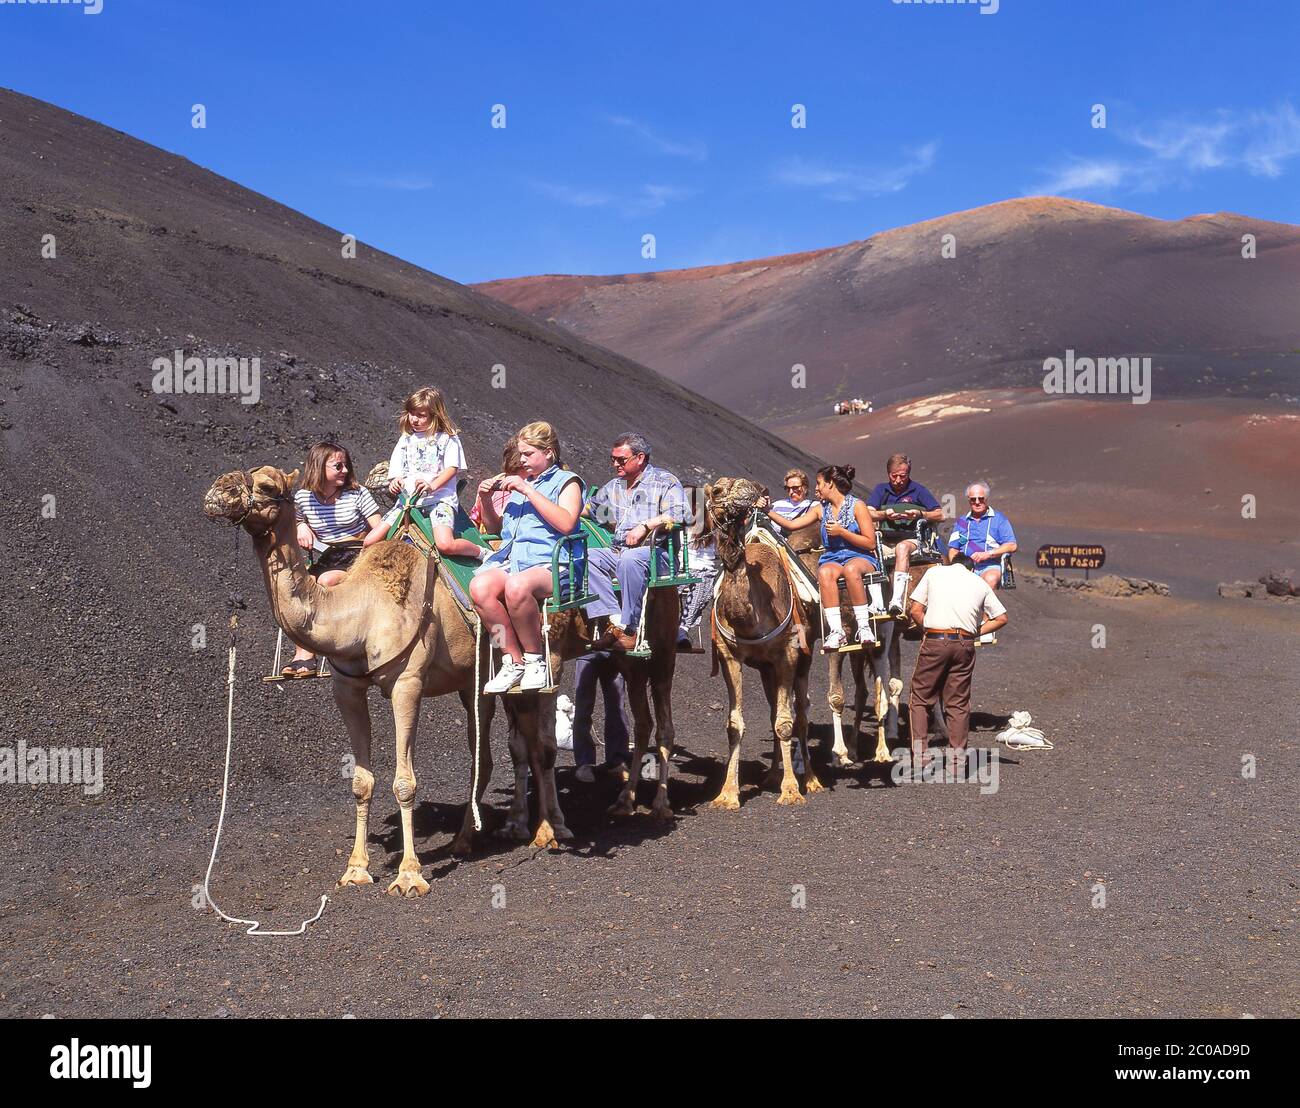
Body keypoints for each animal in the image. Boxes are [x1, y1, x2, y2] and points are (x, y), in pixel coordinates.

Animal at [200, 462, 577, 894]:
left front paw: (410, 875)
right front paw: (355, 869)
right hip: (480, 681)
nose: (218, 491)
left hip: (549, 657)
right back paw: (470, 839)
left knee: (541, 744)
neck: (360, 613)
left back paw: (550, 832)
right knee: (493, 749)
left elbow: (404, 782)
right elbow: (361, 781)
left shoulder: (407, 683)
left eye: (265, 485)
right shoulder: (347, 687)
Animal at [702, 475, 821, 806]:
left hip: (803, 659)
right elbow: (734, 725)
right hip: (767, 670)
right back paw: (771, 776)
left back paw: (811, 780)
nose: (748, 491)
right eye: (718, 490)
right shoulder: (729, 656)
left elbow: (785, 722)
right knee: (772, 711)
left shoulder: (788, 655)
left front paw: (791, 790)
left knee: (801, 714)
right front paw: (727, 794)